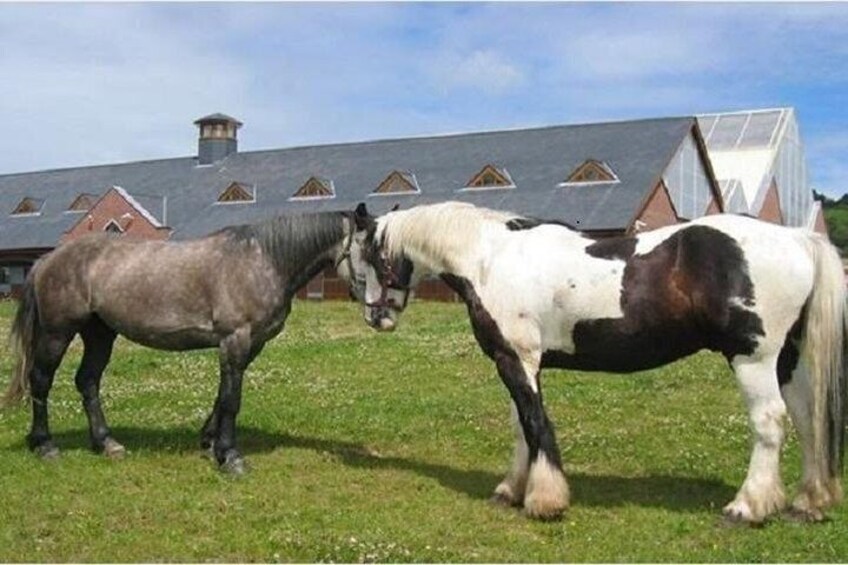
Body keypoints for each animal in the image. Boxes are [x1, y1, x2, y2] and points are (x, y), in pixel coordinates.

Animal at [350, 200, 840, 524]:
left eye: (367, 257)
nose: (376, 316)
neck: (491, 258)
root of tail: (796, 238)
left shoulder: (515, 359)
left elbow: (536, 423)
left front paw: (544, 500)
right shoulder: (518, 362)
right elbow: (521, 425)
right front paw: (511, 490)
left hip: (753, 359)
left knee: (770, 423)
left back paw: (747, 506)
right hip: (787, 360)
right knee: (806, 418)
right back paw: (807, 503)